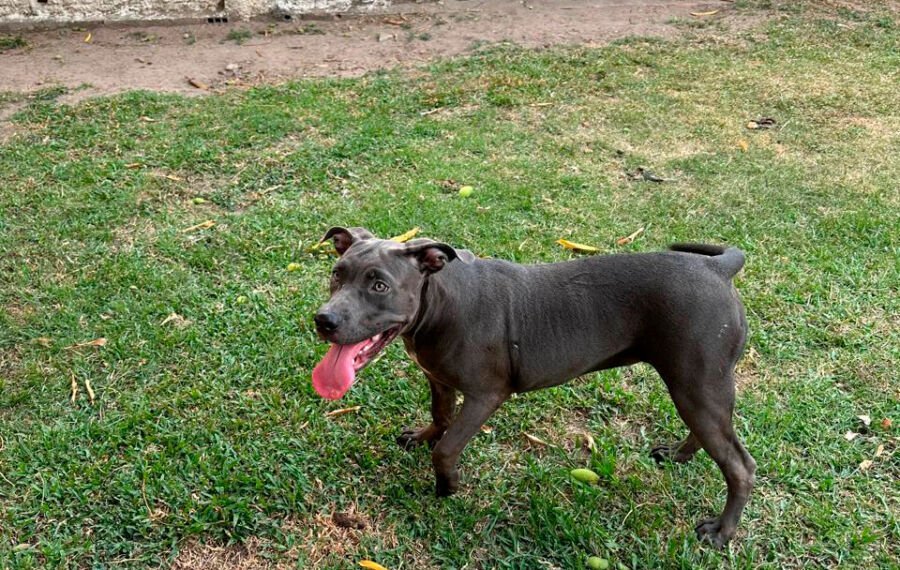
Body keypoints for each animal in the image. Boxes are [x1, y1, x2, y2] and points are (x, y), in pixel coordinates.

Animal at [312, 226, 756, 544]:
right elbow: (440, 416)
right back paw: (679, 455)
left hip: (698, 383)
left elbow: (447, 448)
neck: (439, 300)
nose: (324, 320)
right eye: (337, 275)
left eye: (379, 285)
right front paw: (423, 436)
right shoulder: (437, 378)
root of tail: (717, 268)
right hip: (696, 388)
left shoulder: (485, 396)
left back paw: (721, 532)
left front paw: (447, 486)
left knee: (740, 466)